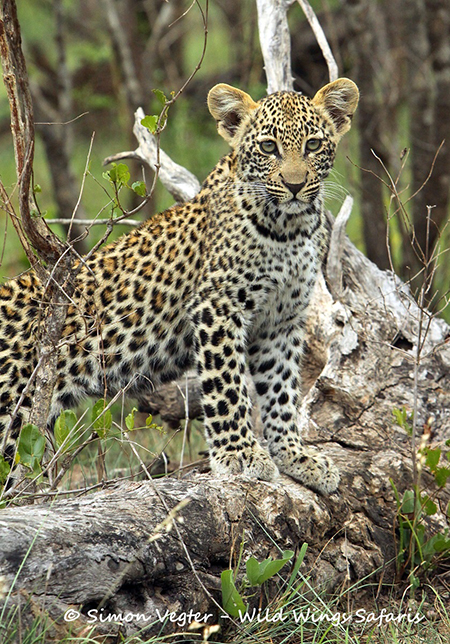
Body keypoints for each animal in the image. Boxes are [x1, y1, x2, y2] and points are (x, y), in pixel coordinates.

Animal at [0, 79, 358, 494]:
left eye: (313, 145)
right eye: (269, 147)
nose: (296, 186)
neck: (290, 229)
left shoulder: (281, 322)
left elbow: (281, 389)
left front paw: (294, 456)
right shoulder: (218, 306)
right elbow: (227, 385)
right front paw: (240, 454)